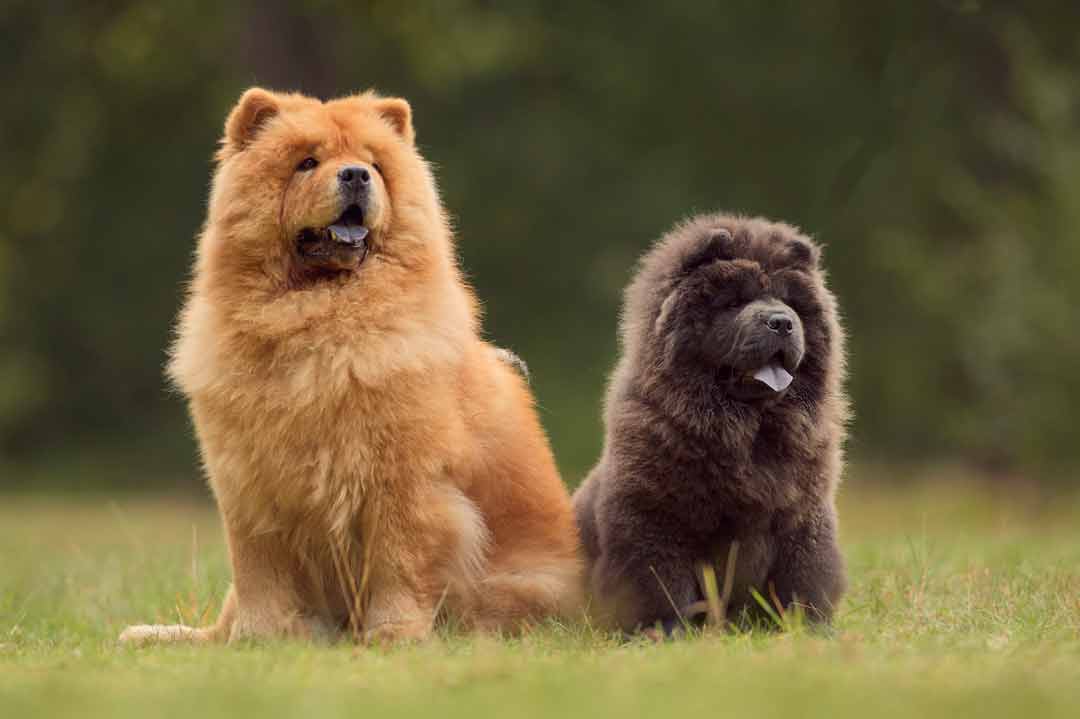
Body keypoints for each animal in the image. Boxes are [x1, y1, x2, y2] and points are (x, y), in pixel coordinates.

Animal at [120, 89, 583, 643]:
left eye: (375, 165)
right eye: (306, 163)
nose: (357, 175)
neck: (314, 320)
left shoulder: (401, 480)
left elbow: (398, 563)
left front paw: (393, 634)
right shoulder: (246, 484)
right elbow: (257, 571)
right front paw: (258, 639)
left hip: (520, 586)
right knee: (219, 620)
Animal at [578, 210, 846, 630]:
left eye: (790, 302)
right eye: (734, 302)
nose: (782, 322)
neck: (748, 433)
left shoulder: (803, 517)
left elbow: (804, 575)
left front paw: (809, 628)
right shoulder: (654, 517)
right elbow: (661, 580)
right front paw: (664, 630)